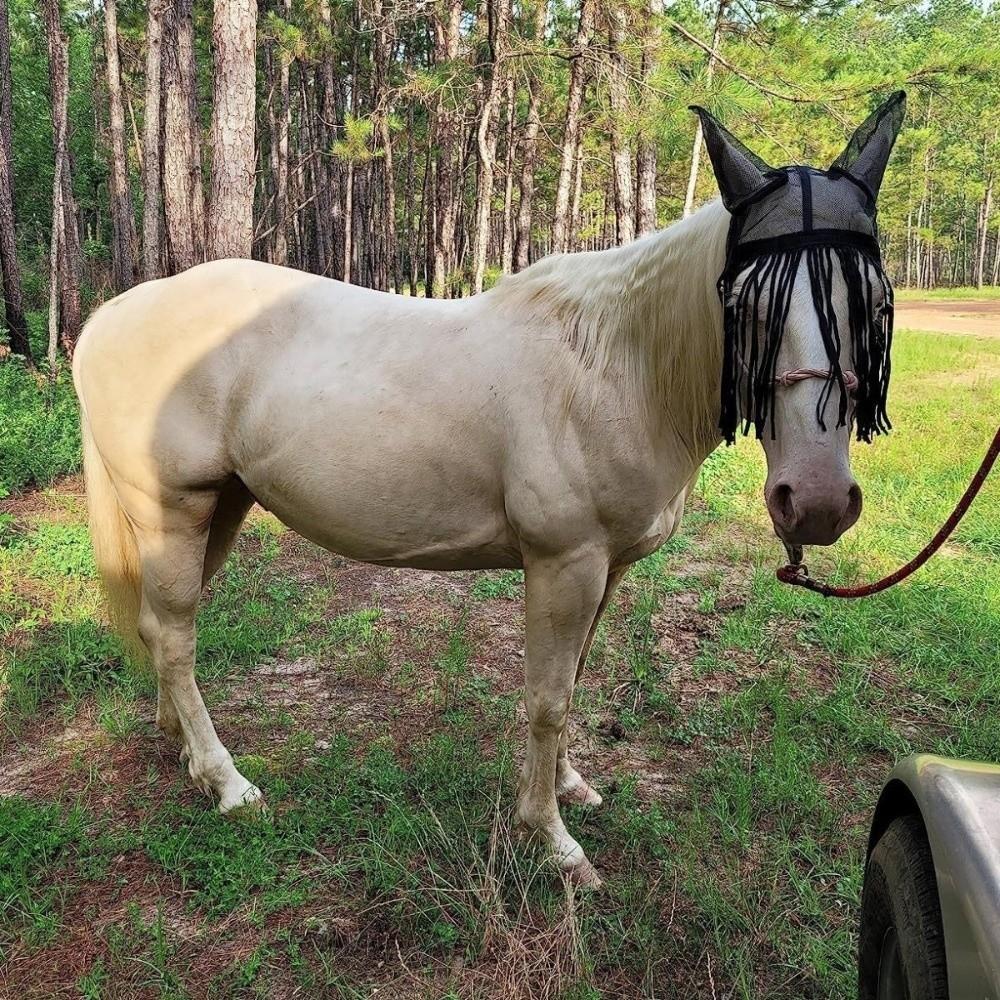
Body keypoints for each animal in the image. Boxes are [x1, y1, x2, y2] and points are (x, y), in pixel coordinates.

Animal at [73, 95, 904, 888]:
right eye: (748, 307)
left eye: (875, 303)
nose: (817, 500)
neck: (615, 367)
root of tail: (112, 315)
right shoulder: (564, 565)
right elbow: (548, 698)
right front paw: (553, 842)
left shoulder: (605, 570)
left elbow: (573, 679)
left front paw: (569, 788)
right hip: (173, 511)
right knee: (175, 638)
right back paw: (228, 783)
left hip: (221, 509)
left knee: (160, 629)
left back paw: (184, 751)